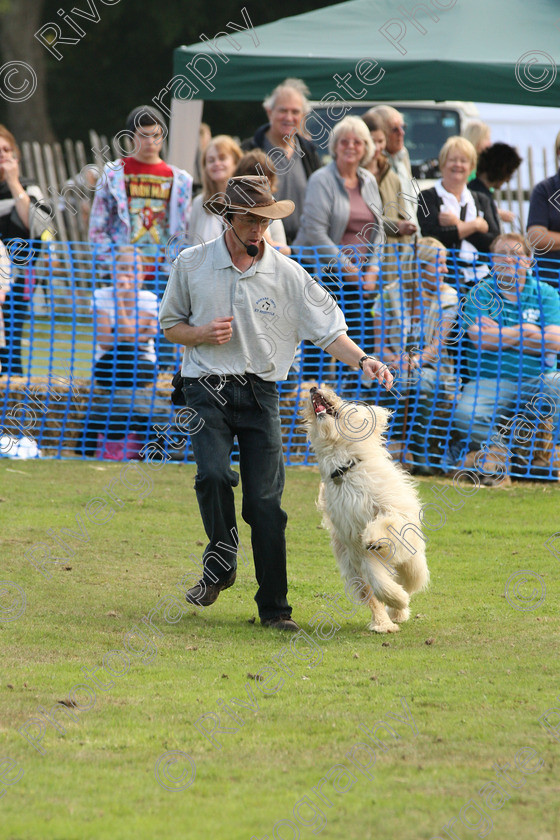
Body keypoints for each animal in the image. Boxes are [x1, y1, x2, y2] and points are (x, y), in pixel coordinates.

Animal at [302, 388, 428, 632]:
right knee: (372, 594)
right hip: (352, 569)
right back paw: (385, 621)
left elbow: (387, 521)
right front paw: (394, 600)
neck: (345, 468)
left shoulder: (393, 510)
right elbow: (377, 581)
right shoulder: (355, 546)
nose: (314, 388)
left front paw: (373, 536)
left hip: (412, 561)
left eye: (344, 400)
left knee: (411, 579)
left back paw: (398, 611)